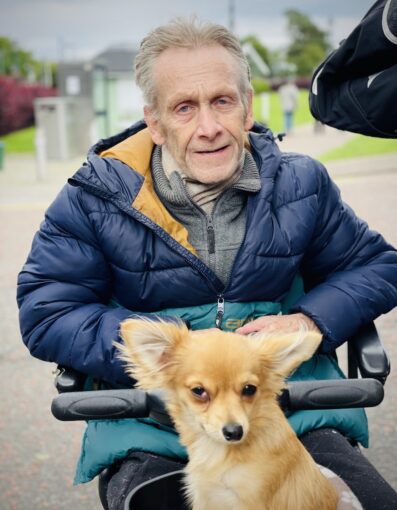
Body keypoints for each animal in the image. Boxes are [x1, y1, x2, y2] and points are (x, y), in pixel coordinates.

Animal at [117, 318, 338, 510]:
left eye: (249, 389)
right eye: (199, 391)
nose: (235, 431)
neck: (219, 454)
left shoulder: (251, 502)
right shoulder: (206, 499)